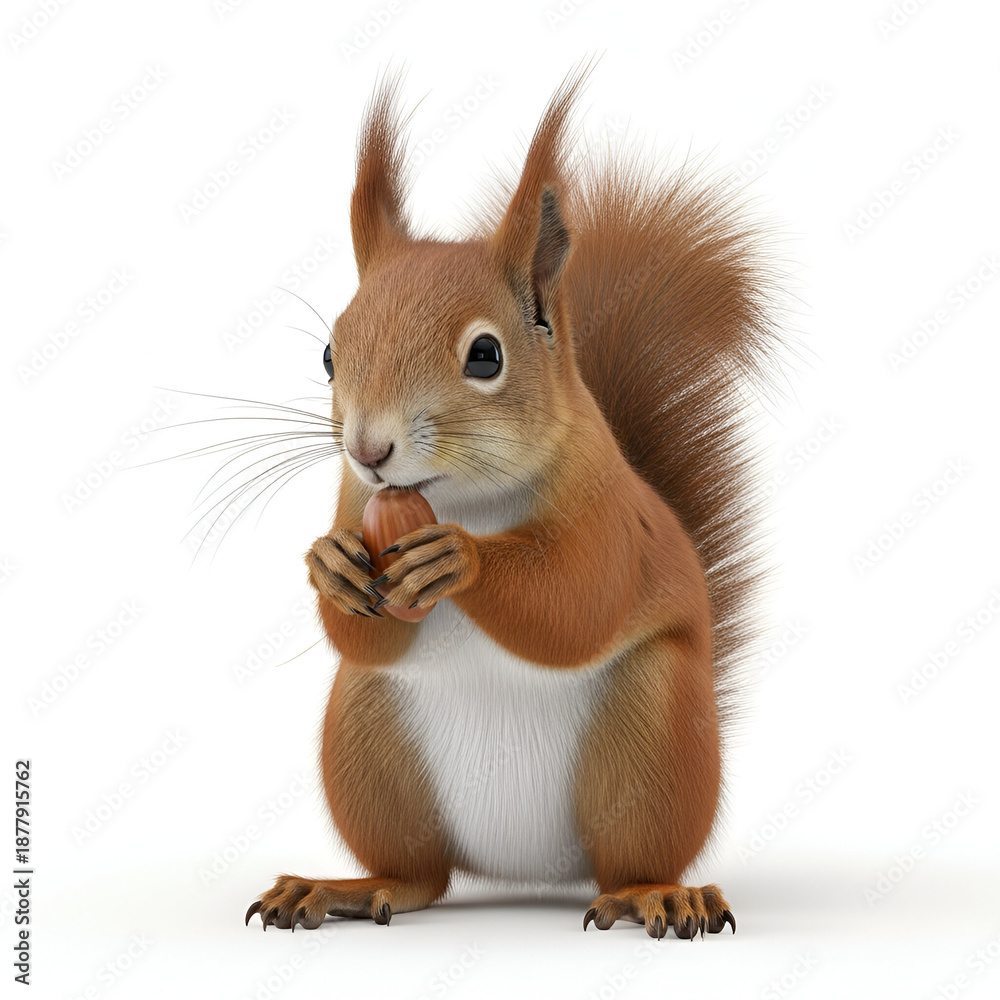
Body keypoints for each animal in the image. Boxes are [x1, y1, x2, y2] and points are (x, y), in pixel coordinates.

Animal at [246, 66, 781, 939]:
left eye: (486, 356)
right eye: (330, 352)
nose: (369, 449)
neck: (460, 496)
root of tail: (528, 872)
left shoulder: (608, 512)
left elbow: (576, 602)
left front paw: (457, 558)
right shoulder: (355, 502)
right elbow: (358, 633)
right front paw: (330, 565)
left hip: (655, 733)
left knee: (632, 857)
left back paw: (657, 895)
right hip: (366, 739)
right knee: (419, 874)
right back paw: (343, 888)